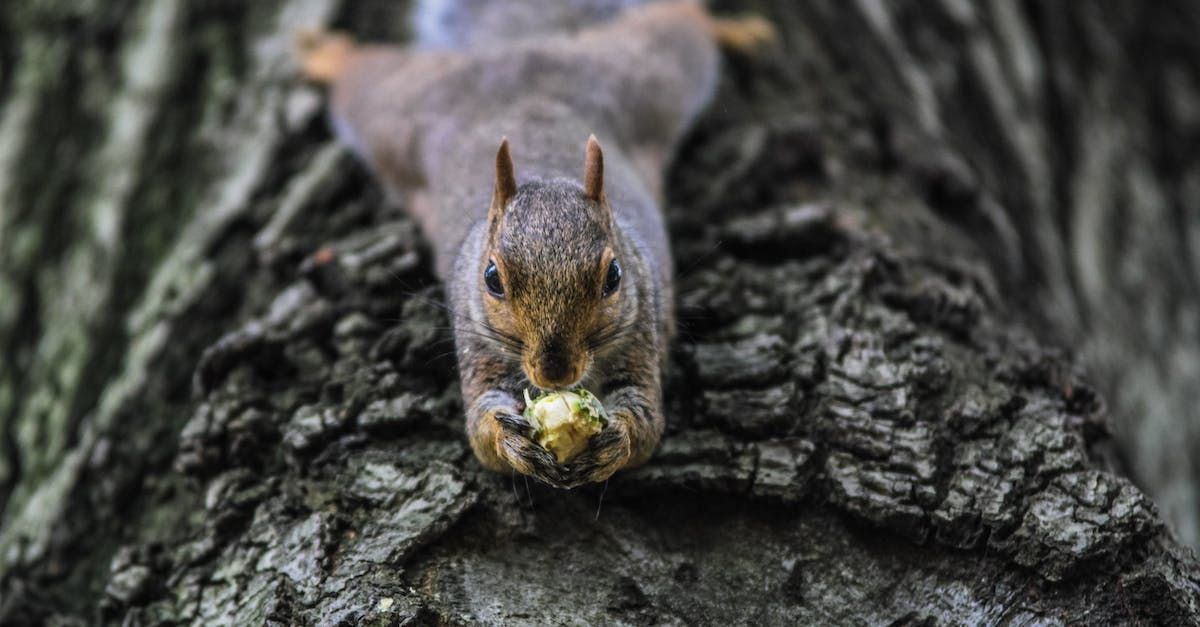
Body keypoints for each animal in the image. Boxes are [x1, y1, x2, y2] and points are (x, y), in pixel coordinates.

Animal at [297, 0, 768, 485]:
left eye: (614, 277)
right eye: (491, 278)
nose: (554, 373)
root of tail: (518, 49)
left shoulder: (640, 331)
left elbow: (647, 422)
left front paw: (616, 439)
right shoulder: (479, 345)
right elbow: (481, 430)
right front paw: (508, 439)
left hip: (649, 73)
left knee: (679, 25)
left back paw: (733, 26)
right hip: (399, 112)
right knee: (364, 77)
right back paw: (327, 54)